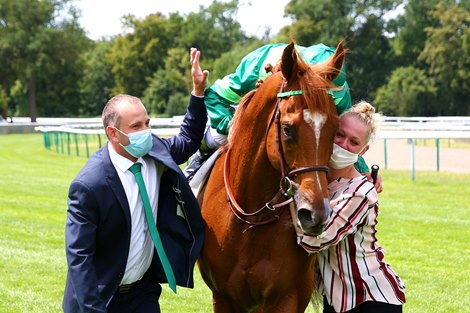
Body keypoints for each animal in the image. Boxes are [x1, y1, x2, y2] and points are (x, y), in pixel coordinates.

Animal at [196, 42, 344, 310]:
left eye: (336, 129)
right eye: (287, 129)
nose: (315, 214)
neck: (249, 219)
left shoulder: (285, 297)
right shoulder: (222, 296)